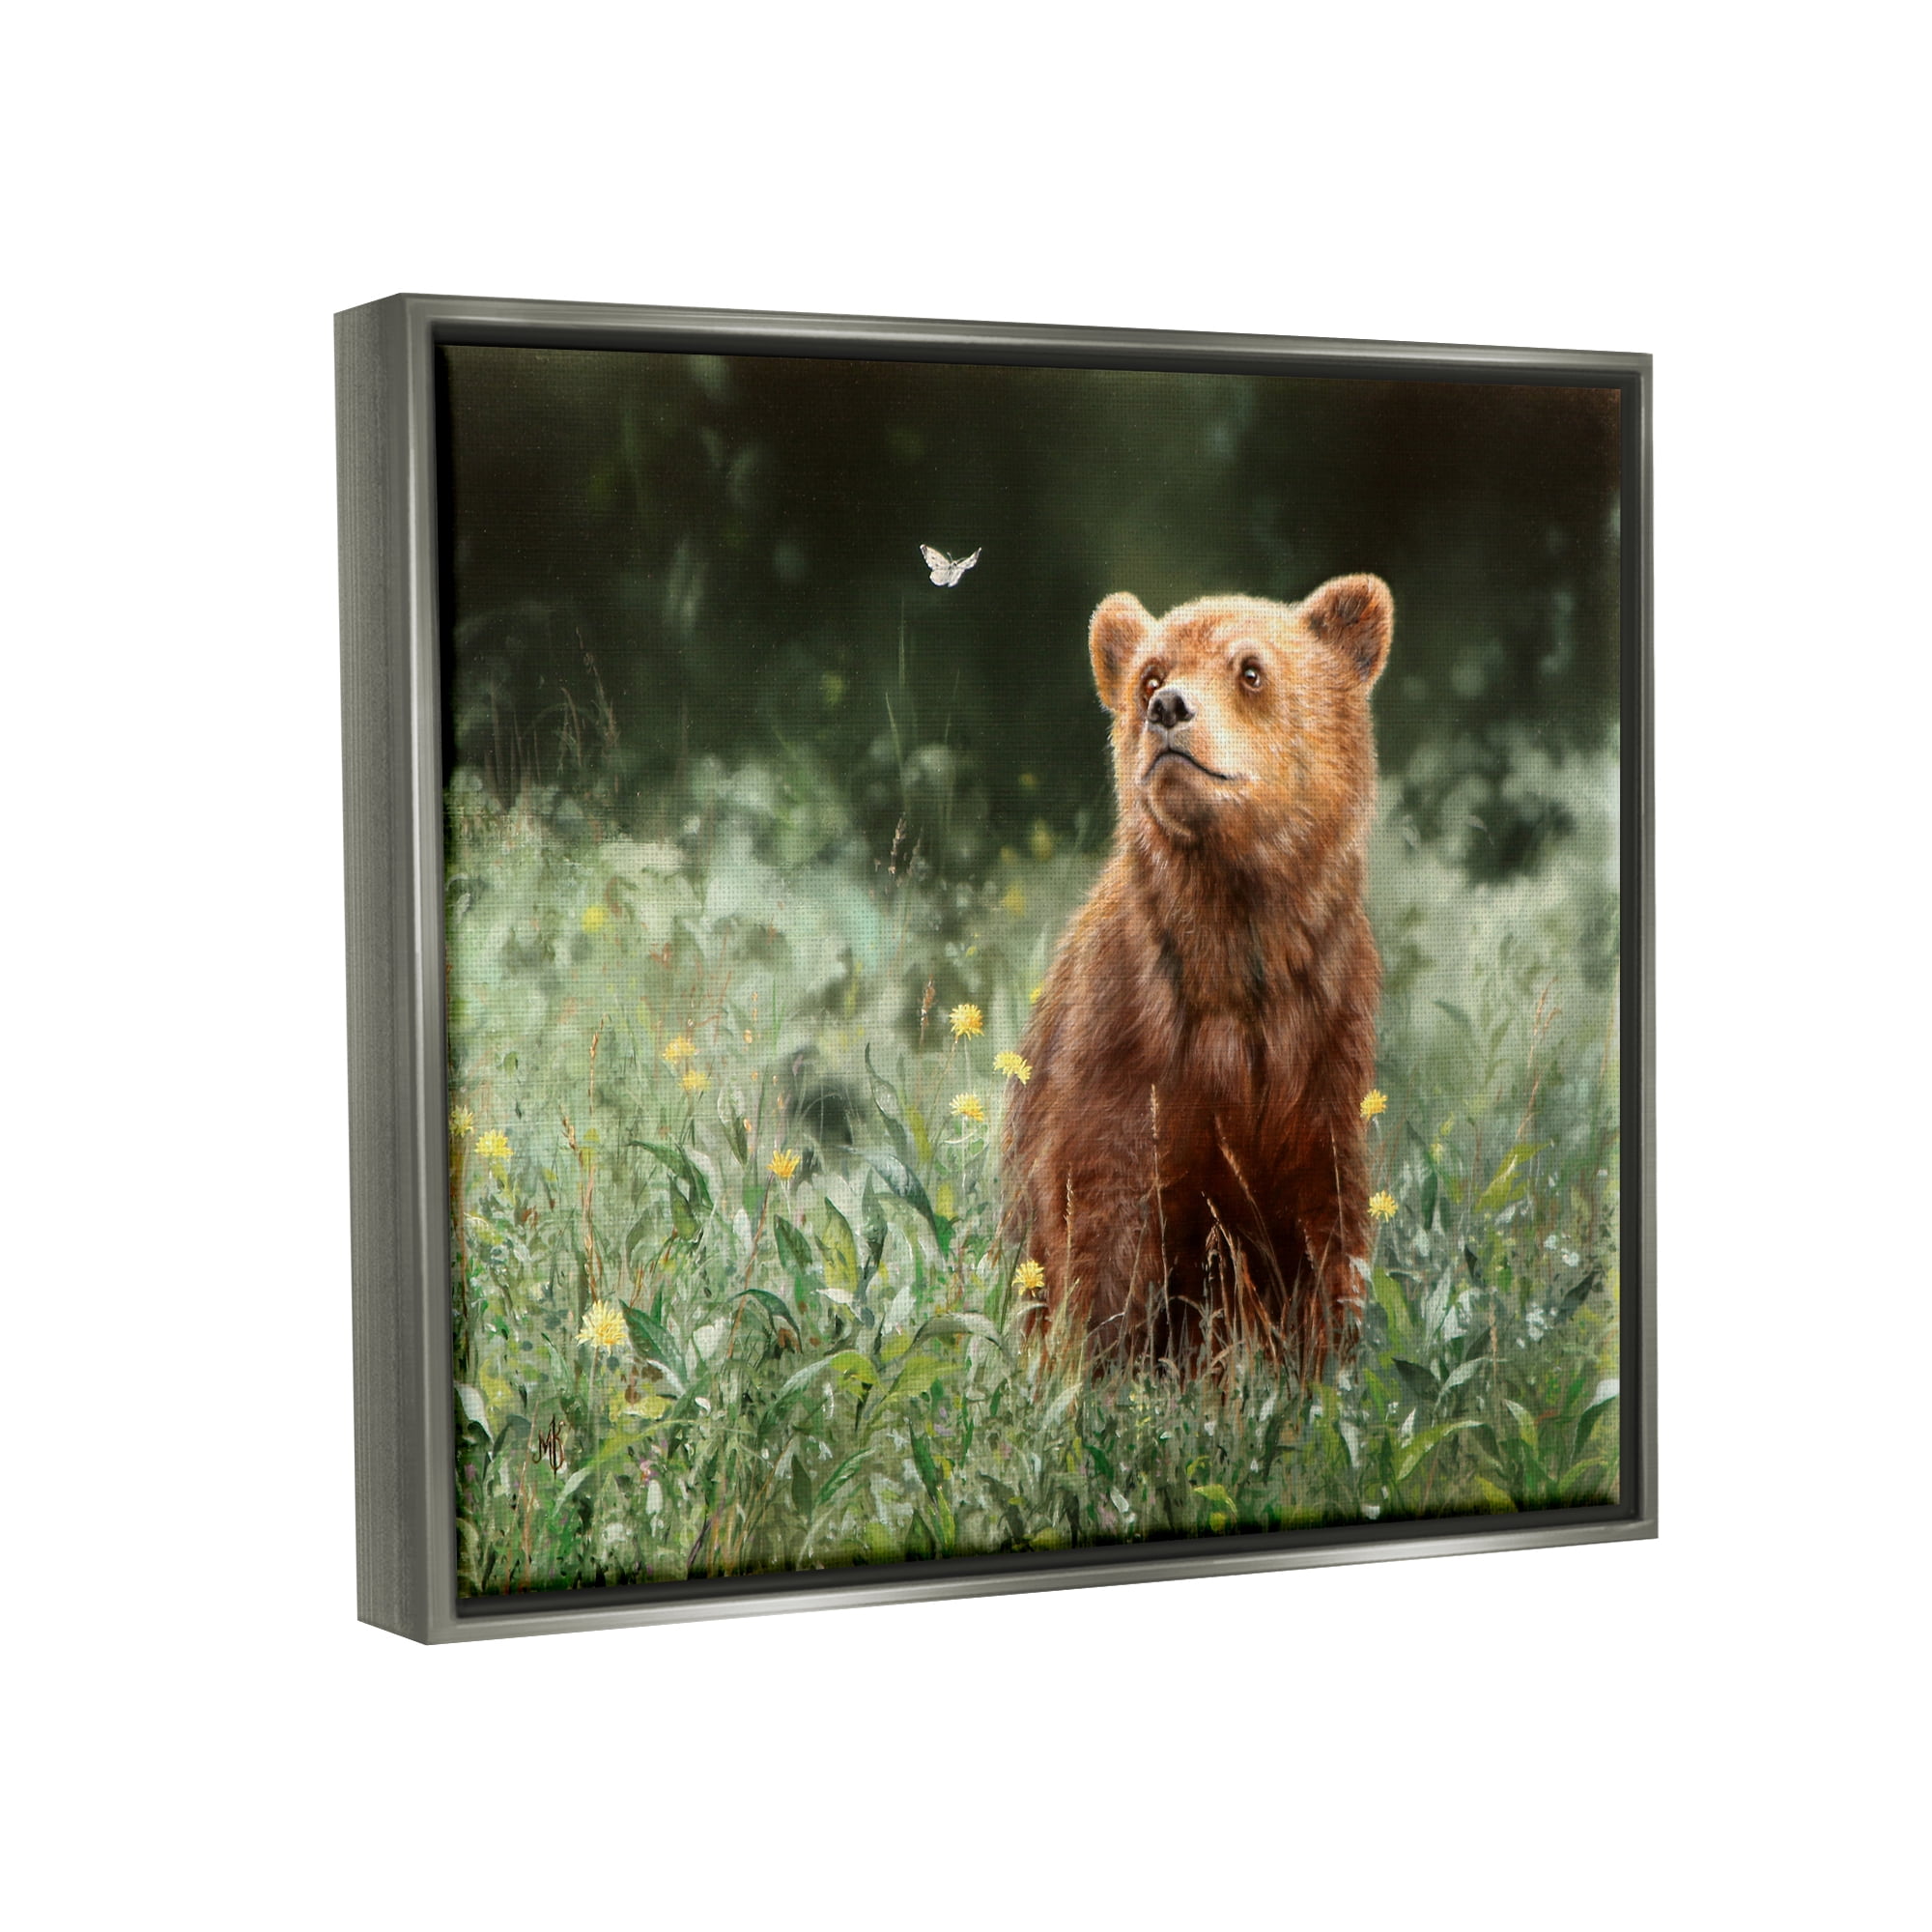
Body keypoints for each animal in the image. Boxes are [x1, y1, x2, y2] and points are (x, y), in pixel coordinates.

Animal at [1002, 574, 1393, 1374]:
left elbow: (1323, 1230)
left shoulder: (1322, 1047)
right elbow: (1102, 1224)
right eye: (1149, 674)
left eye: (1250, 669)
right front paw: (1098, 1367)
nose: (1168, 708)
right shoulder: (1126, 1045)